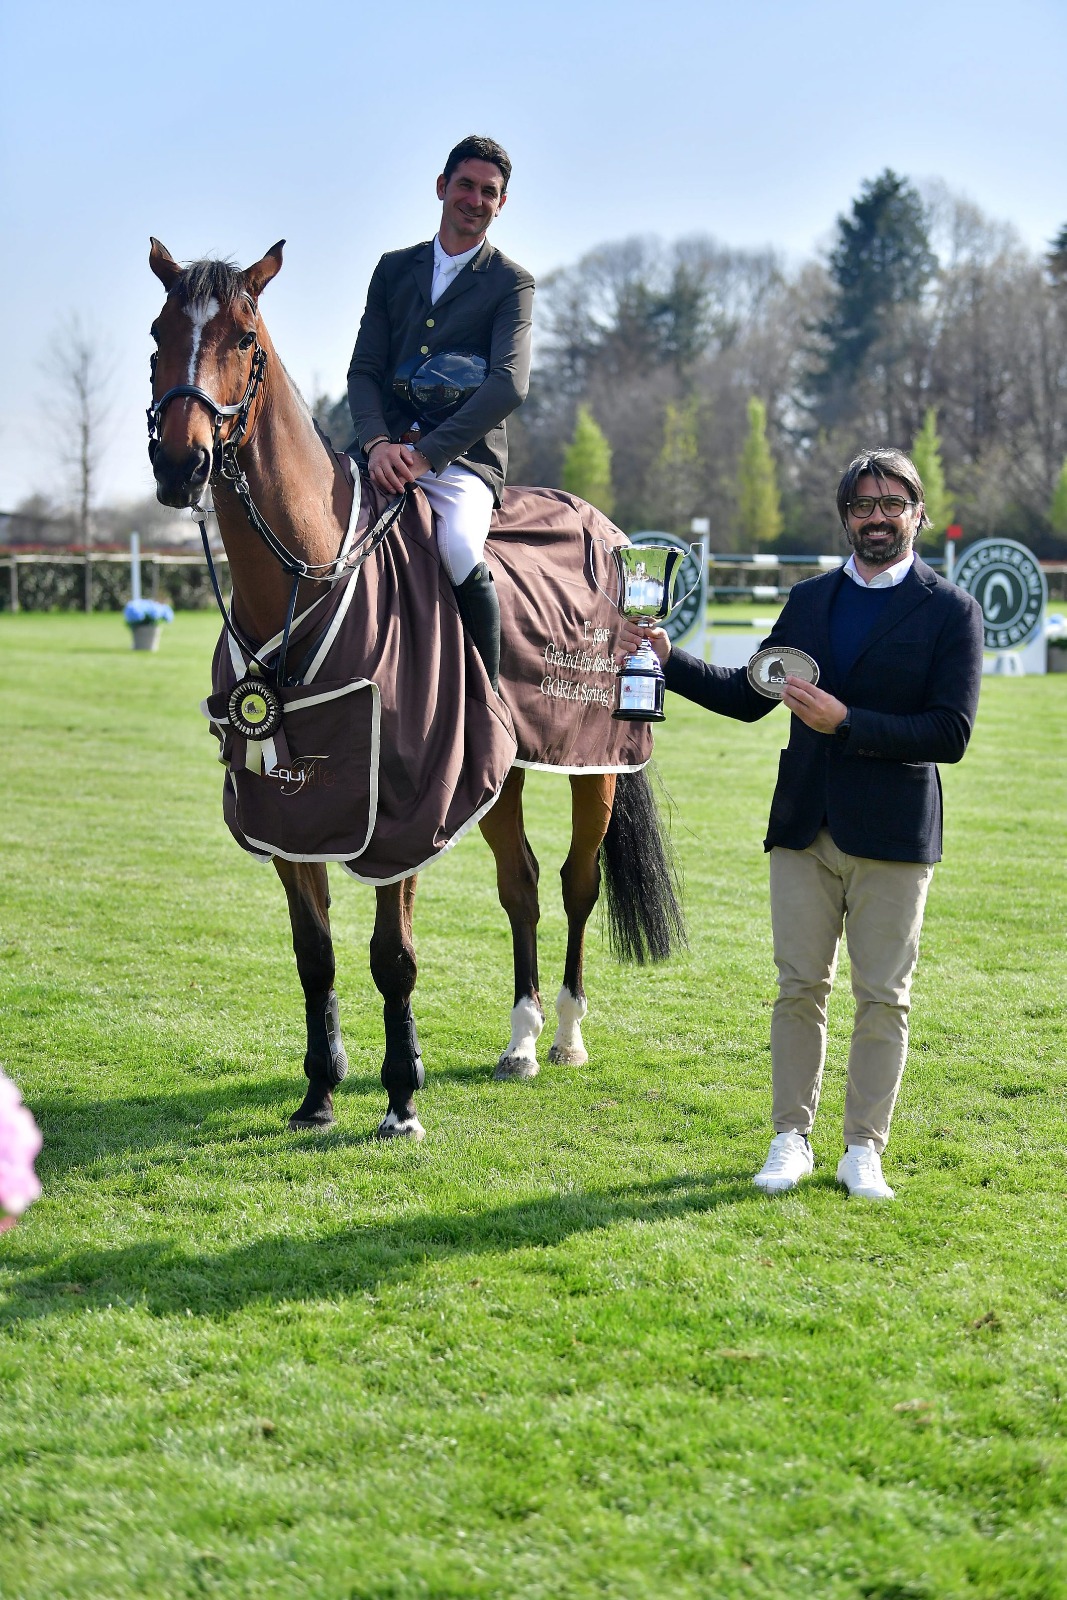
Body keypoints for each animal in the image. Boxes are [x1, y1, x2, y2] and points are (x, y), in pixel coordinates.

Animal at [146, 233, 684, 1139]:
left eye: (245, 341)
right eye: (158, 334)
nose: (179, 463)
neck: (308, 577)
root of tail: (608, 533)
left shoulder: (403, 803)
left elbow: (391, 958)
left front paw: (400, 1098)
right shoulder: (292, 811)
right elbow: (315, 955)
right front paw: (319, 1093)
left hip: (592, 767)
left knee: (574, 884)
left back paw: (565, 1035)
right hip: (496, 773)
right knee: (521, 886)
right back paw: (520, 1042)